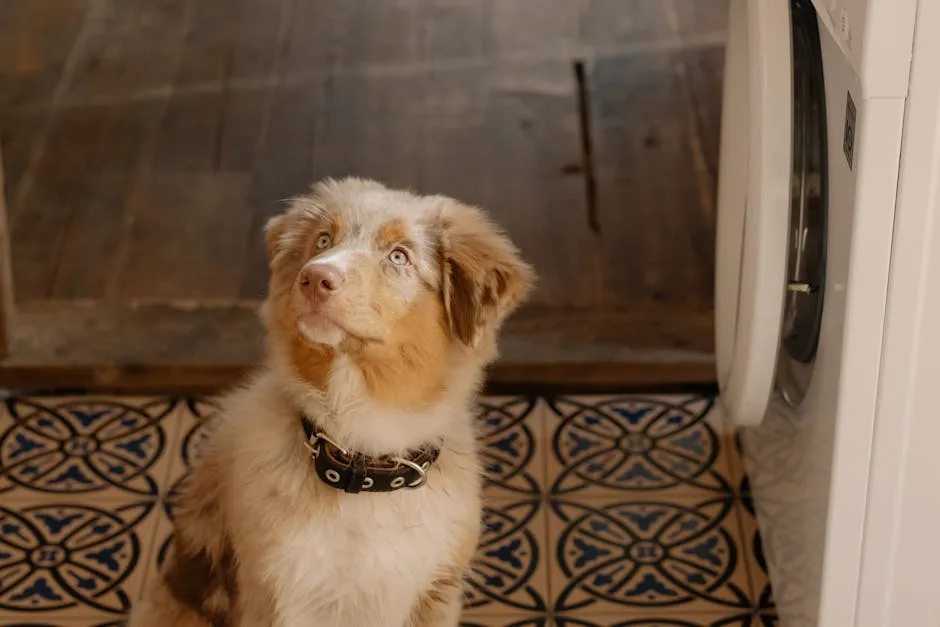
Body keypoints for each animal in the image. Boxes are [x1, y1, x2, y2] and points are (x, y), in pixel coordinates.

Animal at [129, 178, 532, 627]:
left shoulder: (438, 591)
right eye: (323, 240)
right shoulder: (277, 593)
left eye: (399, 256)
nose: (315, 277)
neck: (363, 446)